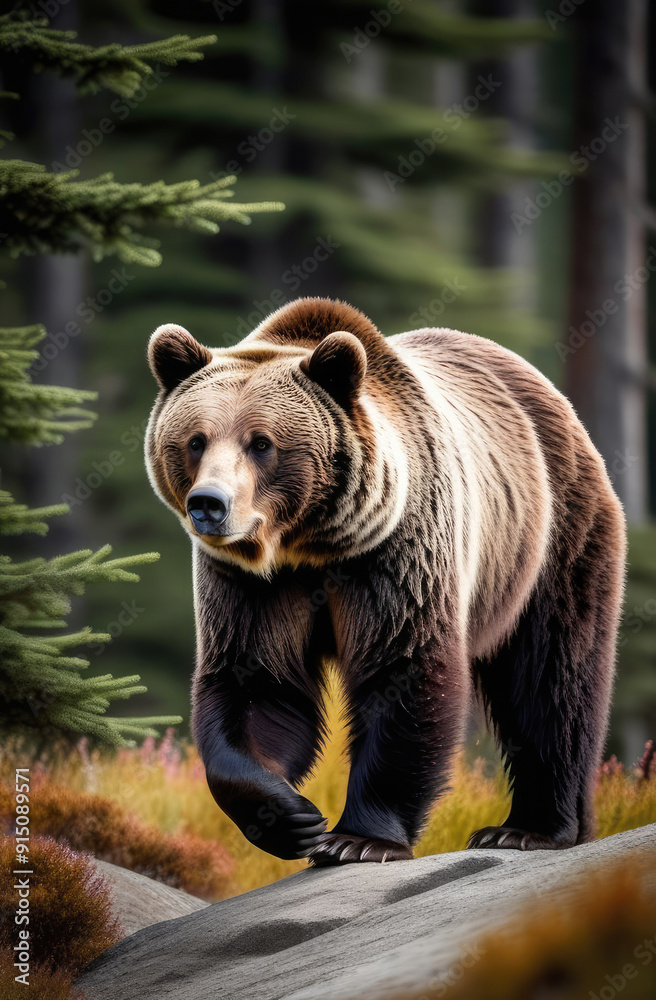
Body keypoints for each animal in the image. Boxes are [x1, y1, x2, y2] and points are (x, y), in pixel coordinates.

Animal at [145, 296, 626, 866]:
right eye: (195, 441)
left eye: (262, 443)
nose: (209, 504)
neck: (313, 545)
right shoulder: (252, 585)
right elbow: (258, 680)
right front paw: (290, 816)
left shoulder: (395, 554)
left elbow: (404, 670)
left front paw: (357, 839)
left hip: (550, 536)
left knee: (553, 674)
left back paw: (529, 828)